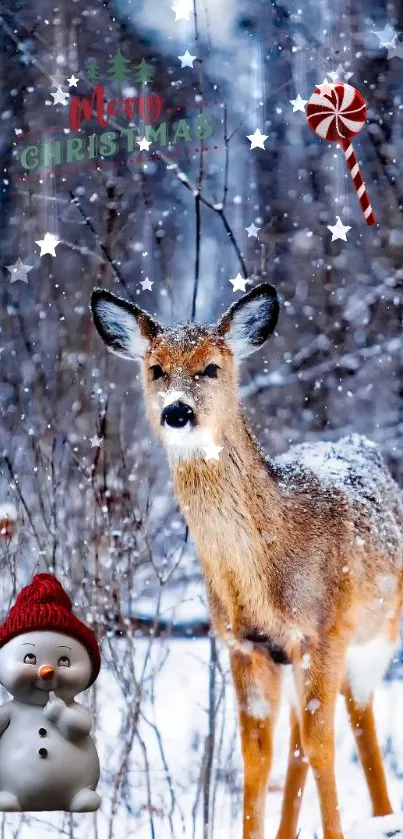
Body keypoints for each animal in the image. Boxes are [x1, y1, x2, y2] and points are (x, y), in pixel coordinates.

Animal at [91, 284, 403, 839]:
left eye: (212, 367)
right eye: (156, 368)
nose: (176, 412)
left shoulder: (325, 630)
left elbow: (324, 747)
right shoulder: (243, 643)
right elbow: (257, 757)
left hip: (377, 635)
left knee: (358, 718)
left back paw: (384, 814)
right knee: (300, 737)